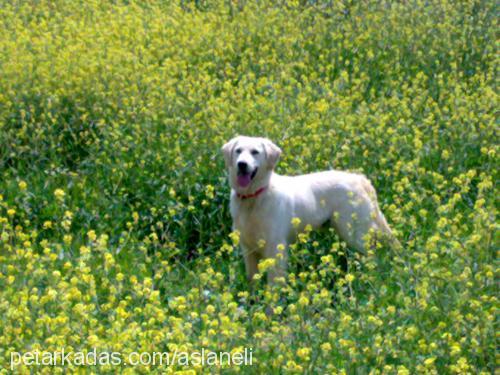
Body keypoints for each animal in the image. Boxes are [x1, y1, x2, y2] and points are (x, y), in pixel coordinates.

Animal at [223, 137, 398, 286]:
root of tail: (359, 178)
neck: (253, 198)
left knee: (373, 255)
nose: (242, 164)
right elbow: (252, 282)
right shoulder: (248, 249)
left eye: (255, 152)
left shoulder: (275, 248)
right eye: (238, 150)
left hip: (353, 232)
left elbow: (274, 286)